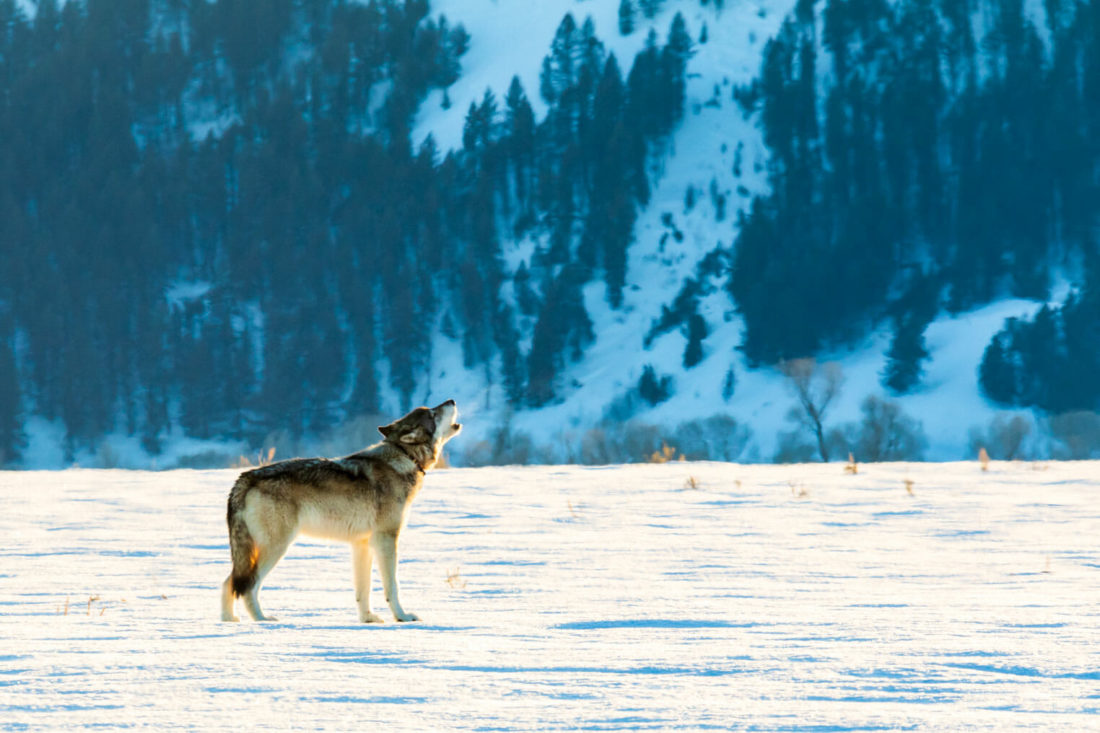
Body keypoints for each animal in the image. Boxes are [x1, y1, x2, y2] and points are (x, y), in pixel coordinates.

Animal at [221, 396, 462, 620]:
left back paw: (229, 621)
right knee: (248, 586)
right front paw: (402, 617)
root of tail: (245, 478)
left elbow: (363, 590)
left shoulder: (362, 544)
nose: (451, 400)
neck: (405, 457)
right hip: (276, 547)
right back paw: (263, 621)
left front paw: (368, 619)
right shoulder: (386, 539)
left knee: (228, 582)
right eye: (433, 414)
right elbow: (392, 586)